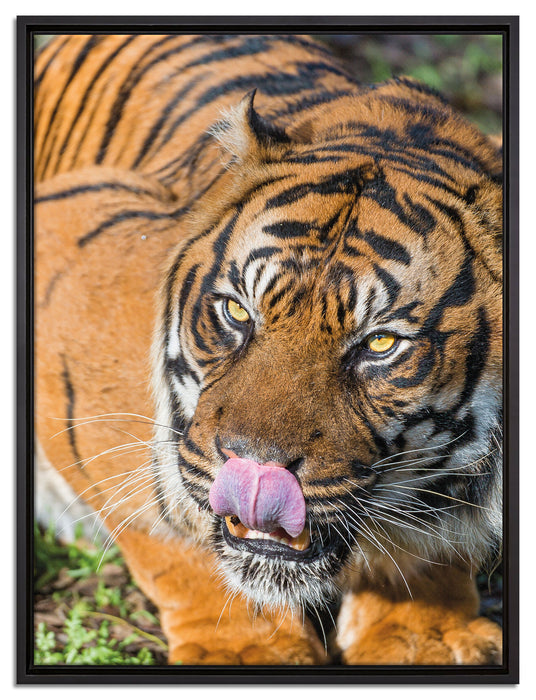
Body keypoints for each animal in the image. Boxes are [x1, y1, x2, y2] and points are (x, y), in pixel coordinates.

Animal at [34, 33, 503, 666]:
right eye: (237, 312)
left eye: (380, 343)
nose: (255, 471)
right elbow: (170, 525)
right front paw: (245, 648)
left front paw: (424, 636)